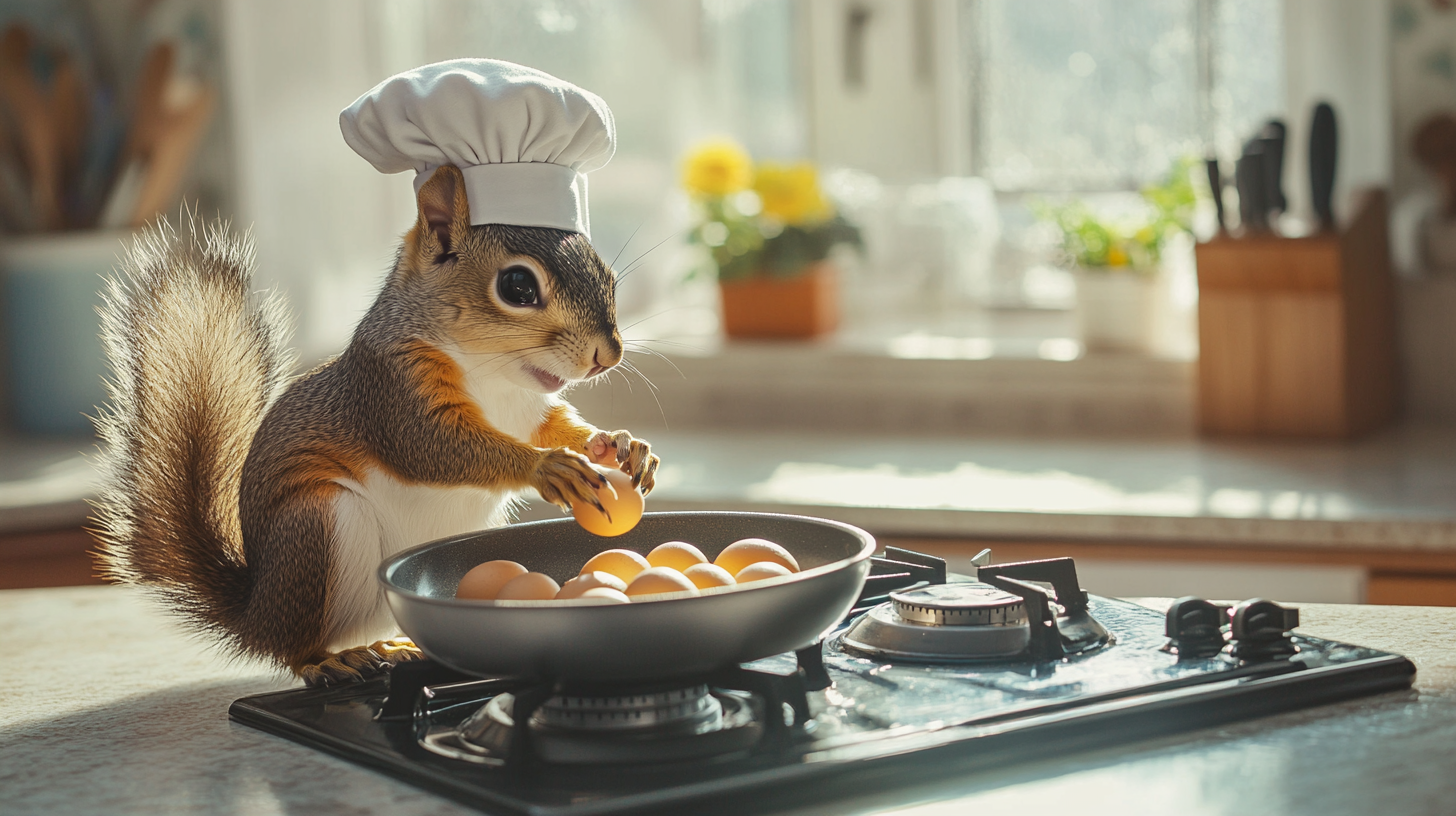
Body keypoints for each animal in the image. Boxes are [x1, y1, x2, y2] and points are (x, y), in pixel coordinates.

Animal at [92, 163, 661, 681]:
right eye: (517, 285)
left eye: (606, 275)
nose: (608, 356)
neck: (497, 375)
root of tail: (256, 615)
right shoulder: (390, 391)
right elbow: (432, 447)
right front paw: (549, 468)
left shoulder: (531, 410)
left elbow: (560, 427)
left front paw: (619, 444)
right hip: (317, 527)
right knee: (295, 647)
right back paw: (327, 662)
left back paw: (385, 647)